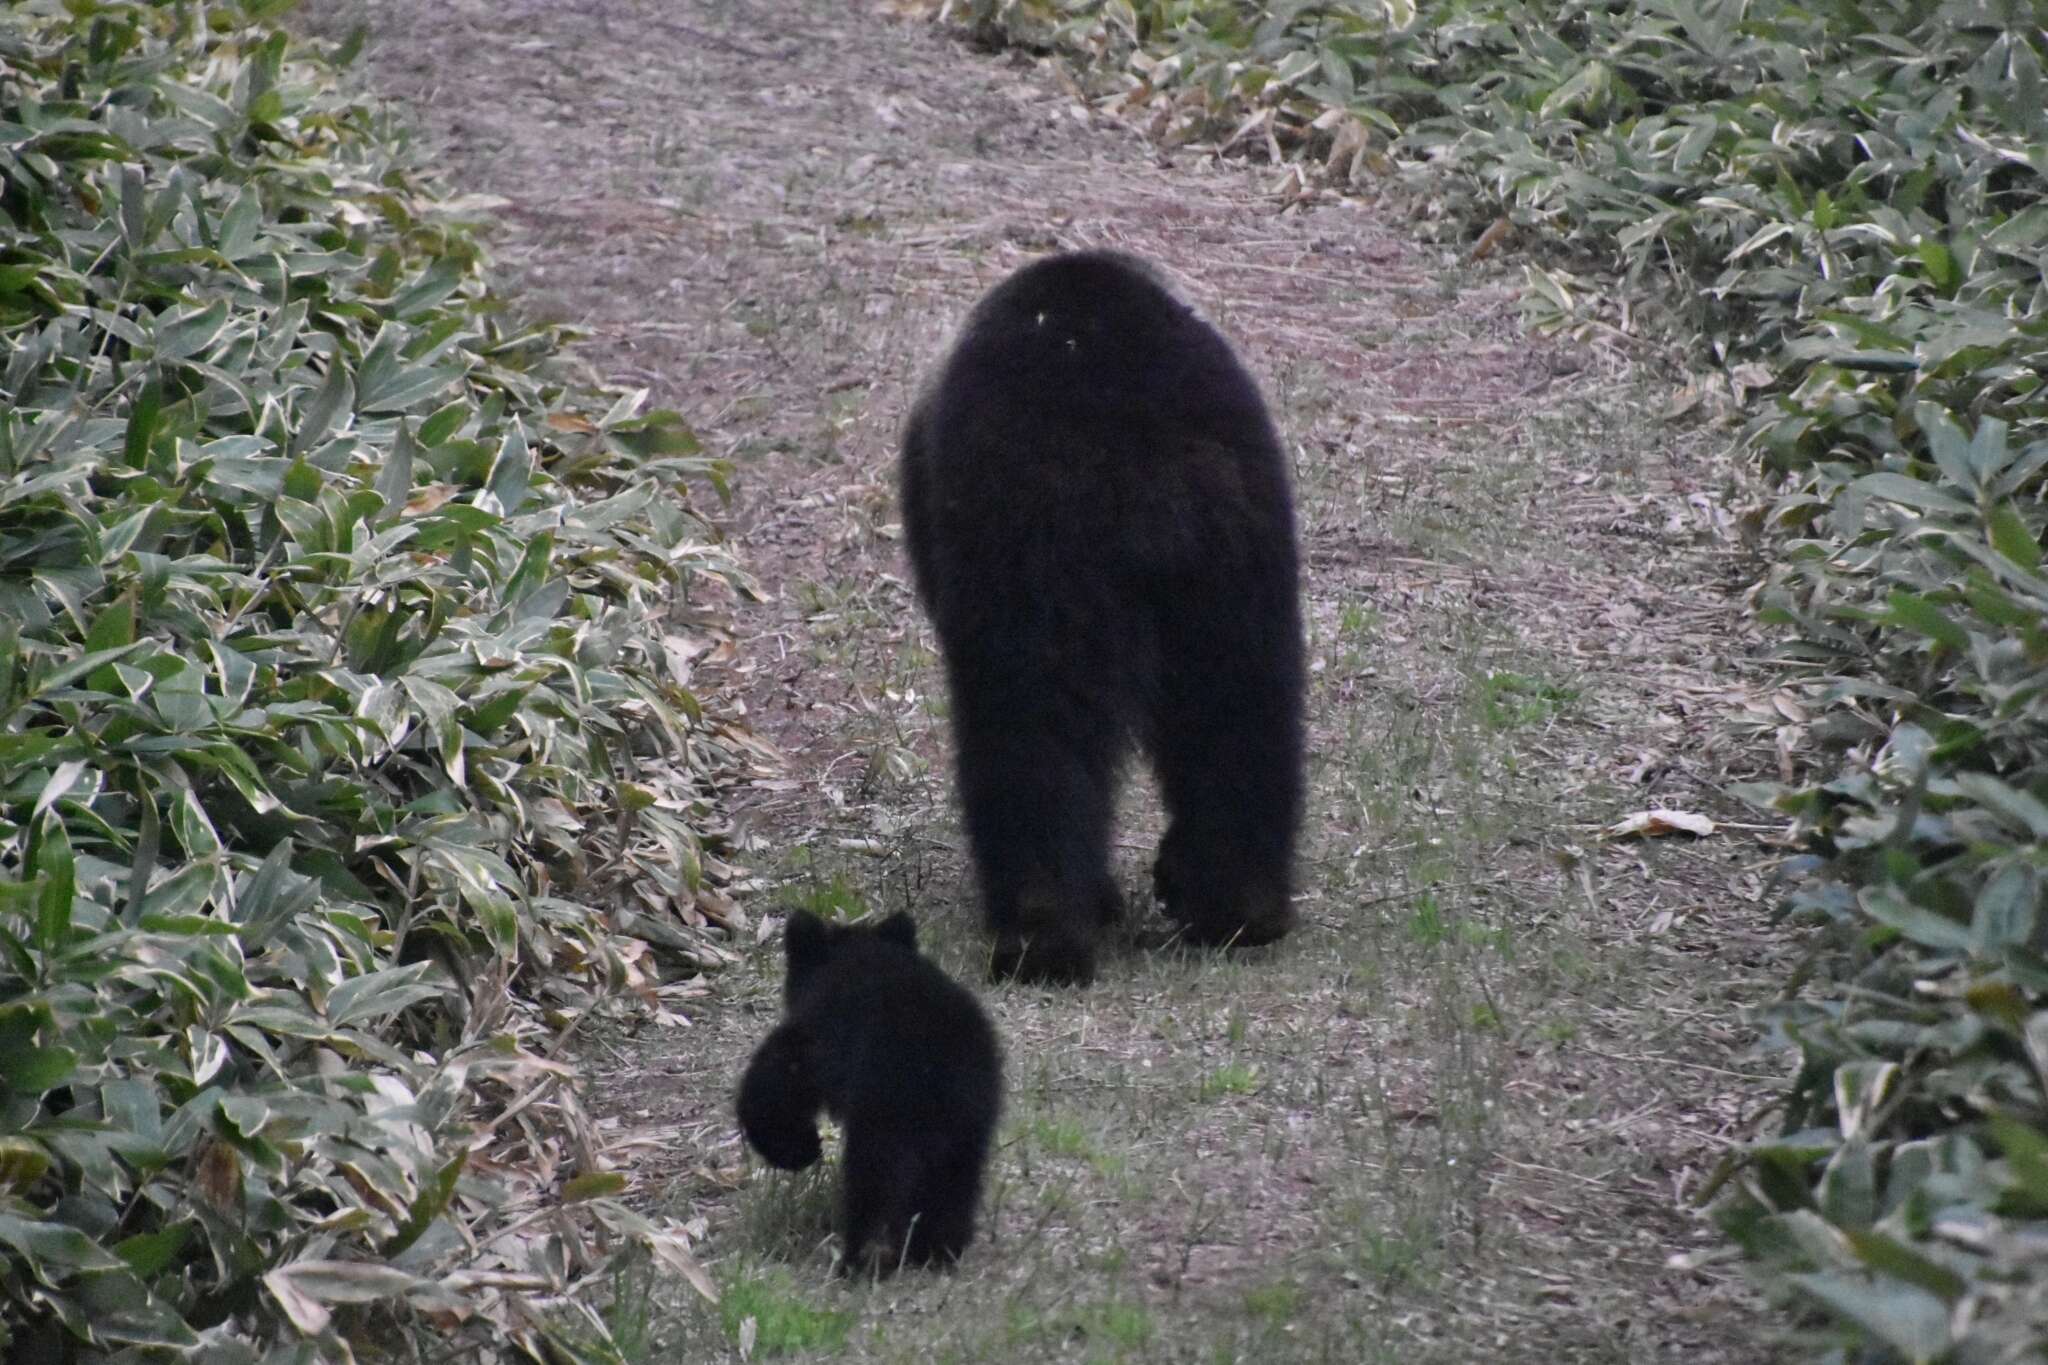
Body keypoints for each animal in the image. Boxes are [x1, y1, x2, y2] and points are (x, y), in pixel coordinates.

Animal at [737, 912, 999, 1277]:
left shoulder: (817, 1037)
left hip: (885, 1117)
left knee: (873, 1186)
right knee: (954, 1185)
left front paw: (798, 1150)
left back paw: (857, 1259)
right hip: (970, 1123)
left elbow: (775, 1084)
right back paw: (936, 1251)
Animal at [905, 250, 1302, 986]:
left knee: (1030, 719)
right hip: (1234, 532)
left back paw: (1040, 932)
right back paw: (1242, 906)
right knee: (1241, 701)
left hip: (1036, 536)